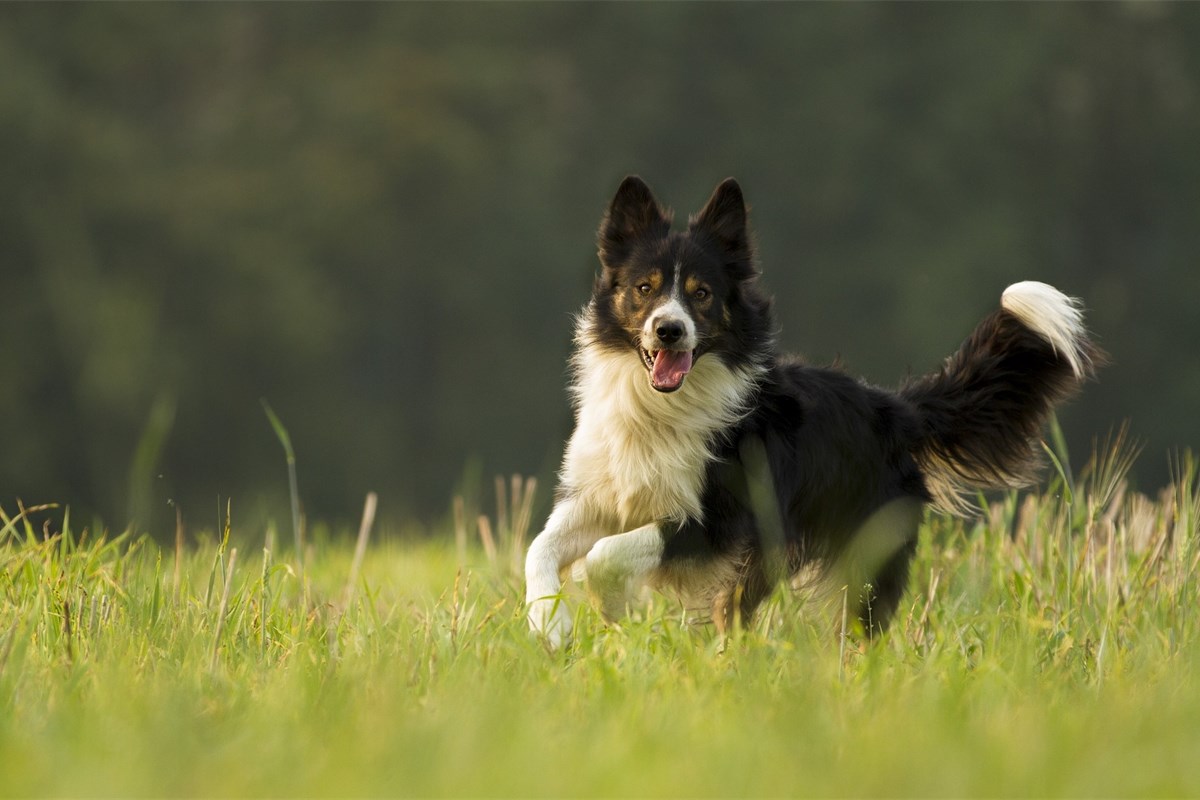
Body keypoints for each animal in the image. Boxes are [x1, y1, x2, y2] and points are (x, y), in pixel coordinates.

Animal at [523, 178, 1099, 647]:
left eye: (701, 294)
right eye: (645, 288)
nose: (669, 330)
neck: (660, 407)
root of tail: (893, 407)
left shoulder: (719, 520)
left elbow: (606, 554)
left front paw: (610, 607)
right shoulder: (601, 495)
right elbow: (540, 546)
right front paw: (549, 626)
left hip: (851, 552)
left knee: (853, 627)